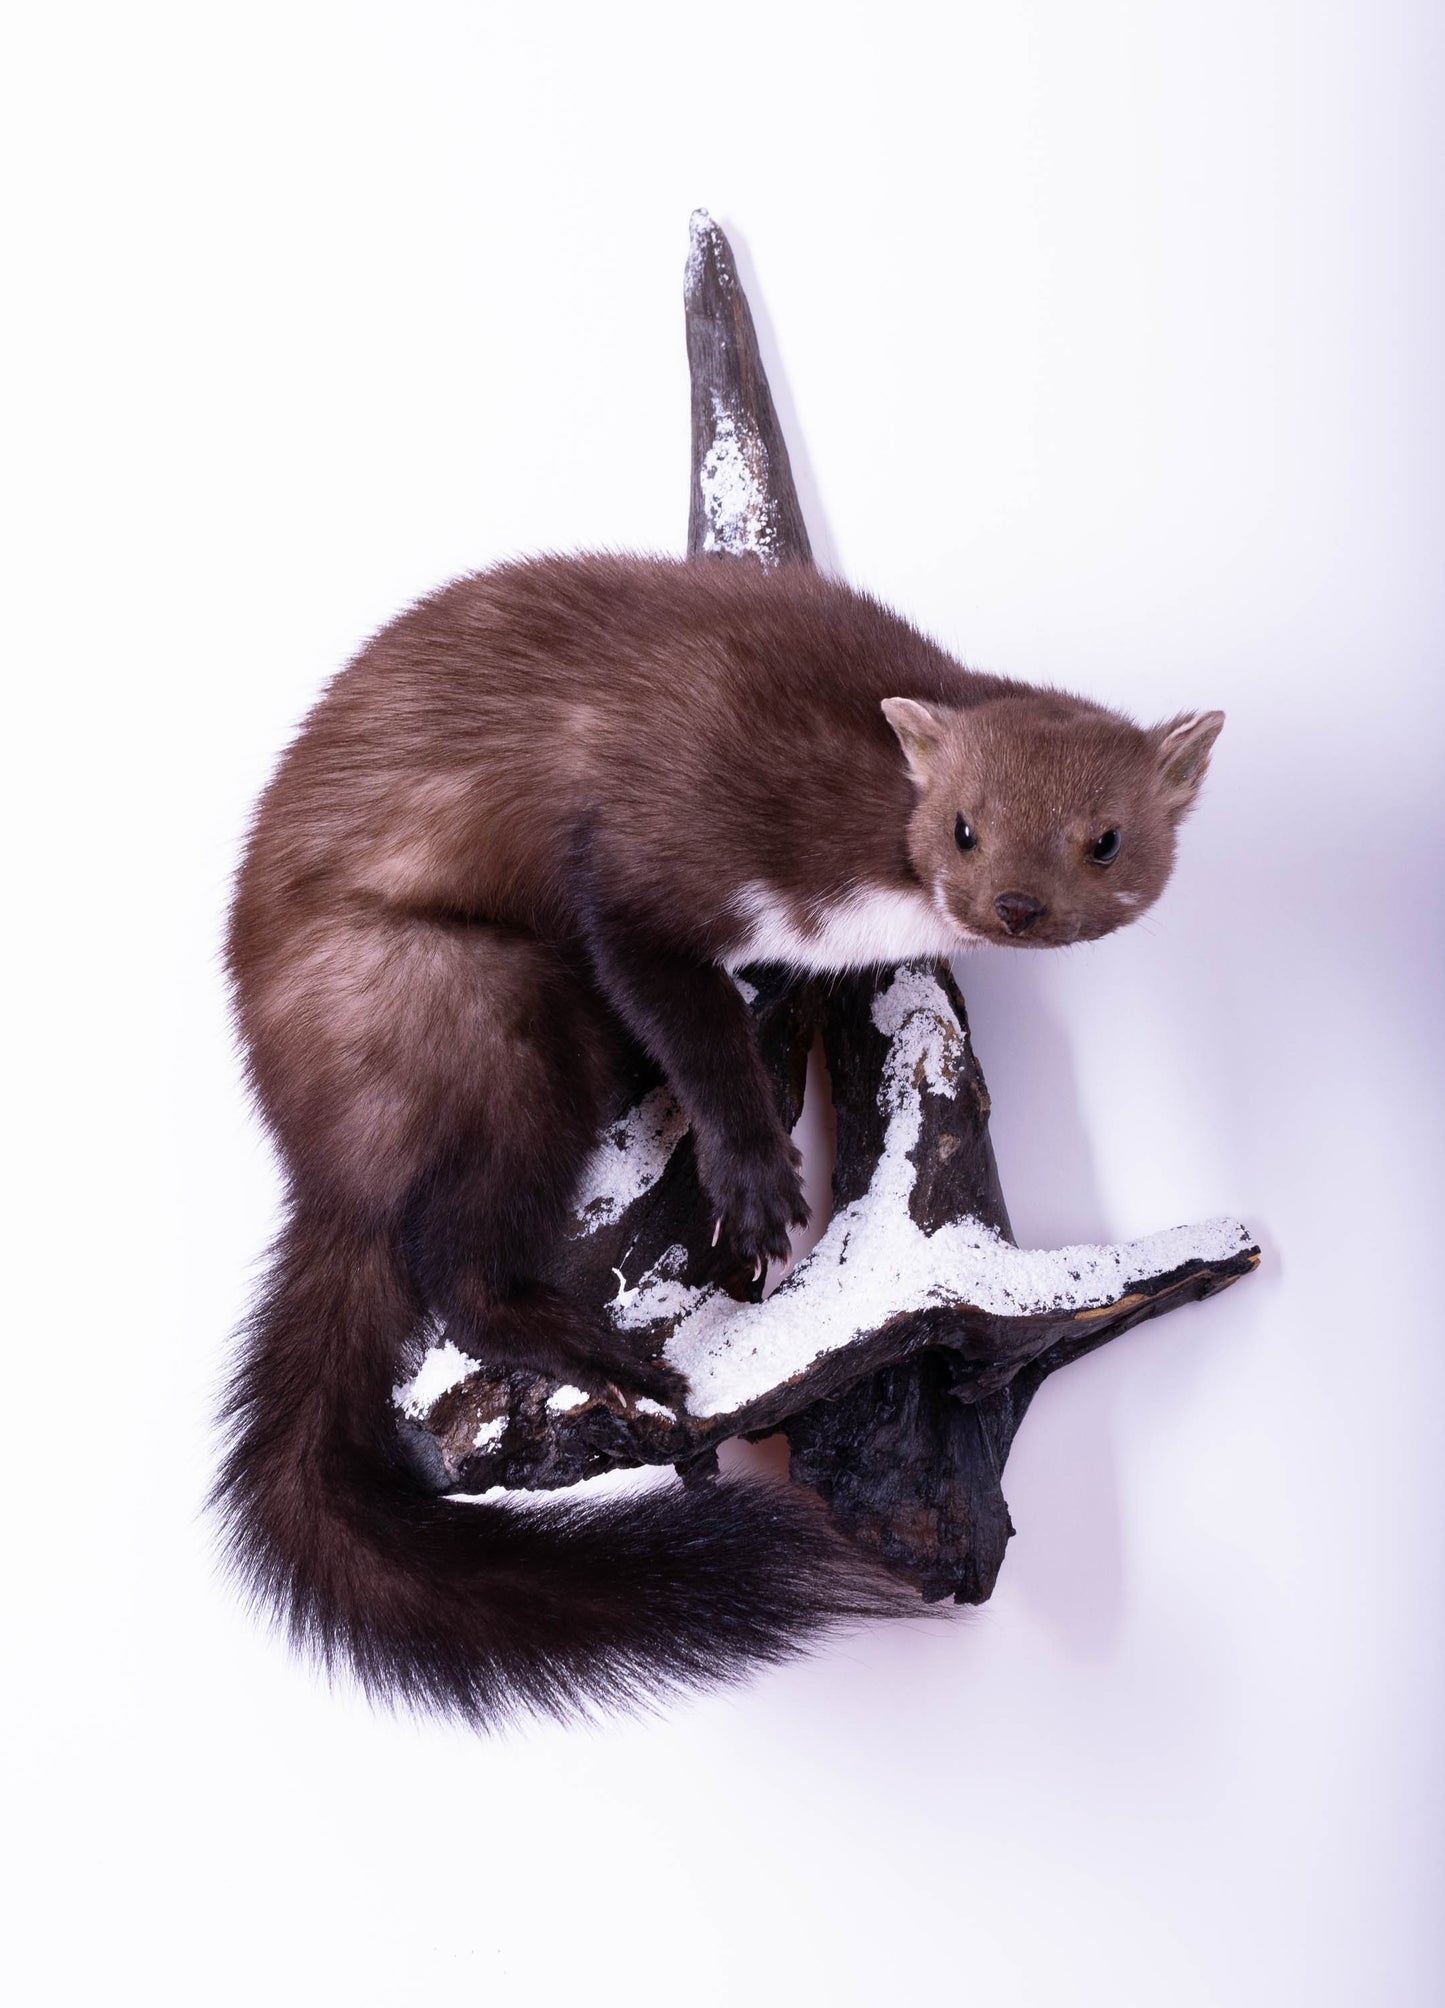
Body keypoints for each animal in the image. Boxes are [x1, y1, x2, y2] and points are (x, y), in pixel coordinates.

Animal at [217, 553, 1223, 1724]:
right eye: (964, 825)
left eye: (1103, 837)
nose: (1013, 905)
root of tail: (309, 1140)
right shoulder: (665, 839)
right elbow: (678, 1005)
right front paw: (750, 1182)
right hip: (475, 996)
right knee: (456, 1264)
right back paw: (597, 1353)